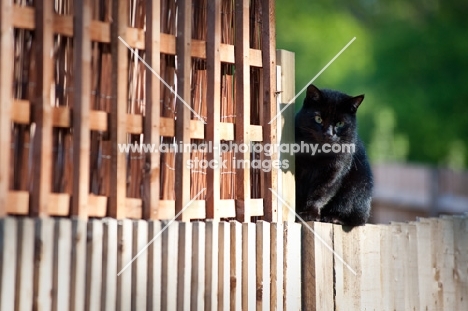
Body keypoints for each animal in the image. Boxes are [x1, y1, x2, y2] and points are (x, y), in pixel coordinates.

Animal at [296, 85, 372, 227]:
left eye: (340, 124)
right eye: (318, 119)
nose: (328, 134)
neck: (317, 153)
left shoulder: (333, 173)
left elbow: (320, 193)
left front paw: (310, 213)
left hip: (358, 186)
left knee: (356, 218)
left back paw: (333, 217)